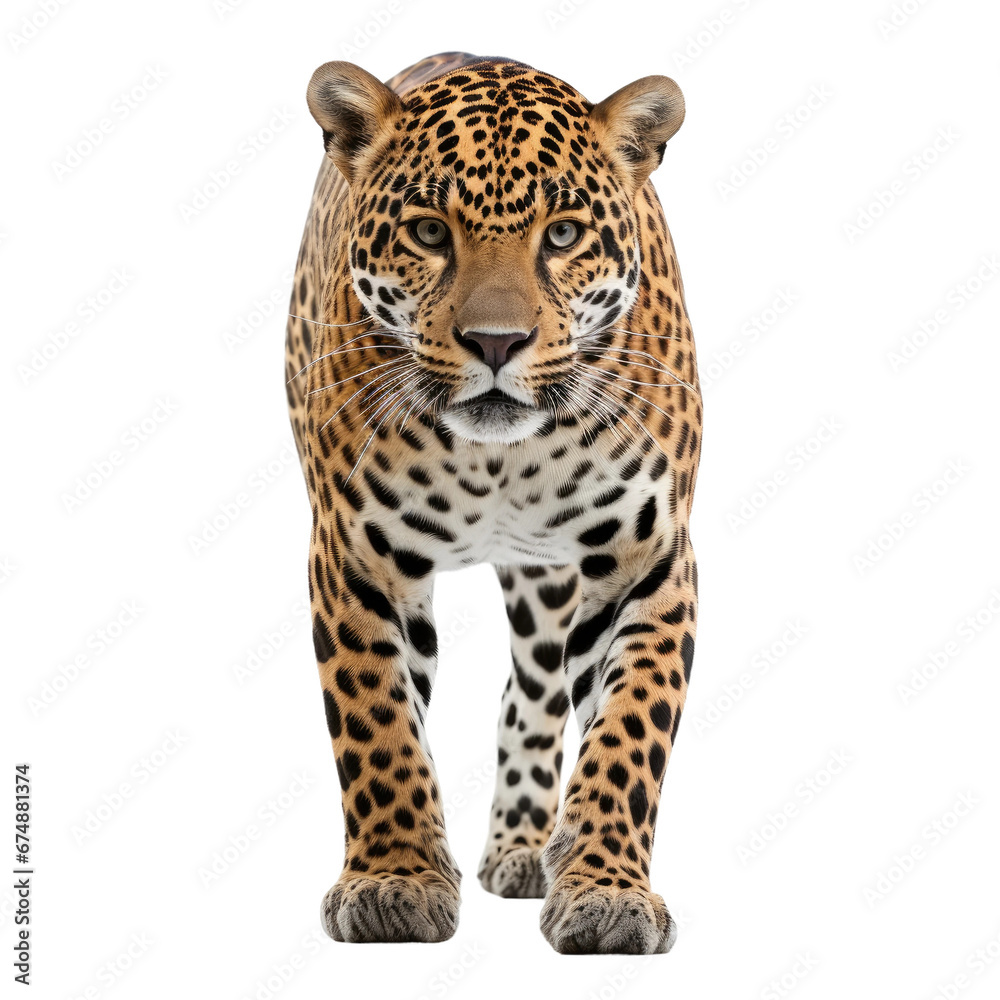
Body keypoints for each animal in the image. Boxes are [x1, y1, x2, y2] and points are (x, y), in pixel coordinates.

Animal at [284, 51, 701, 955]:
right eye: (430, 232)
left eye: (564, 235)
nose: (497, 343)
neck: (499, 461)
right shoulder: (354, 556)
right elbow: (379, 723)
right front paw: (395, 881)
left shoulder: (649, 563)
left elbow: (629, 730)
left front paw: (606, 891)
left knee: (533, 693)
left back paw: (526, 848)